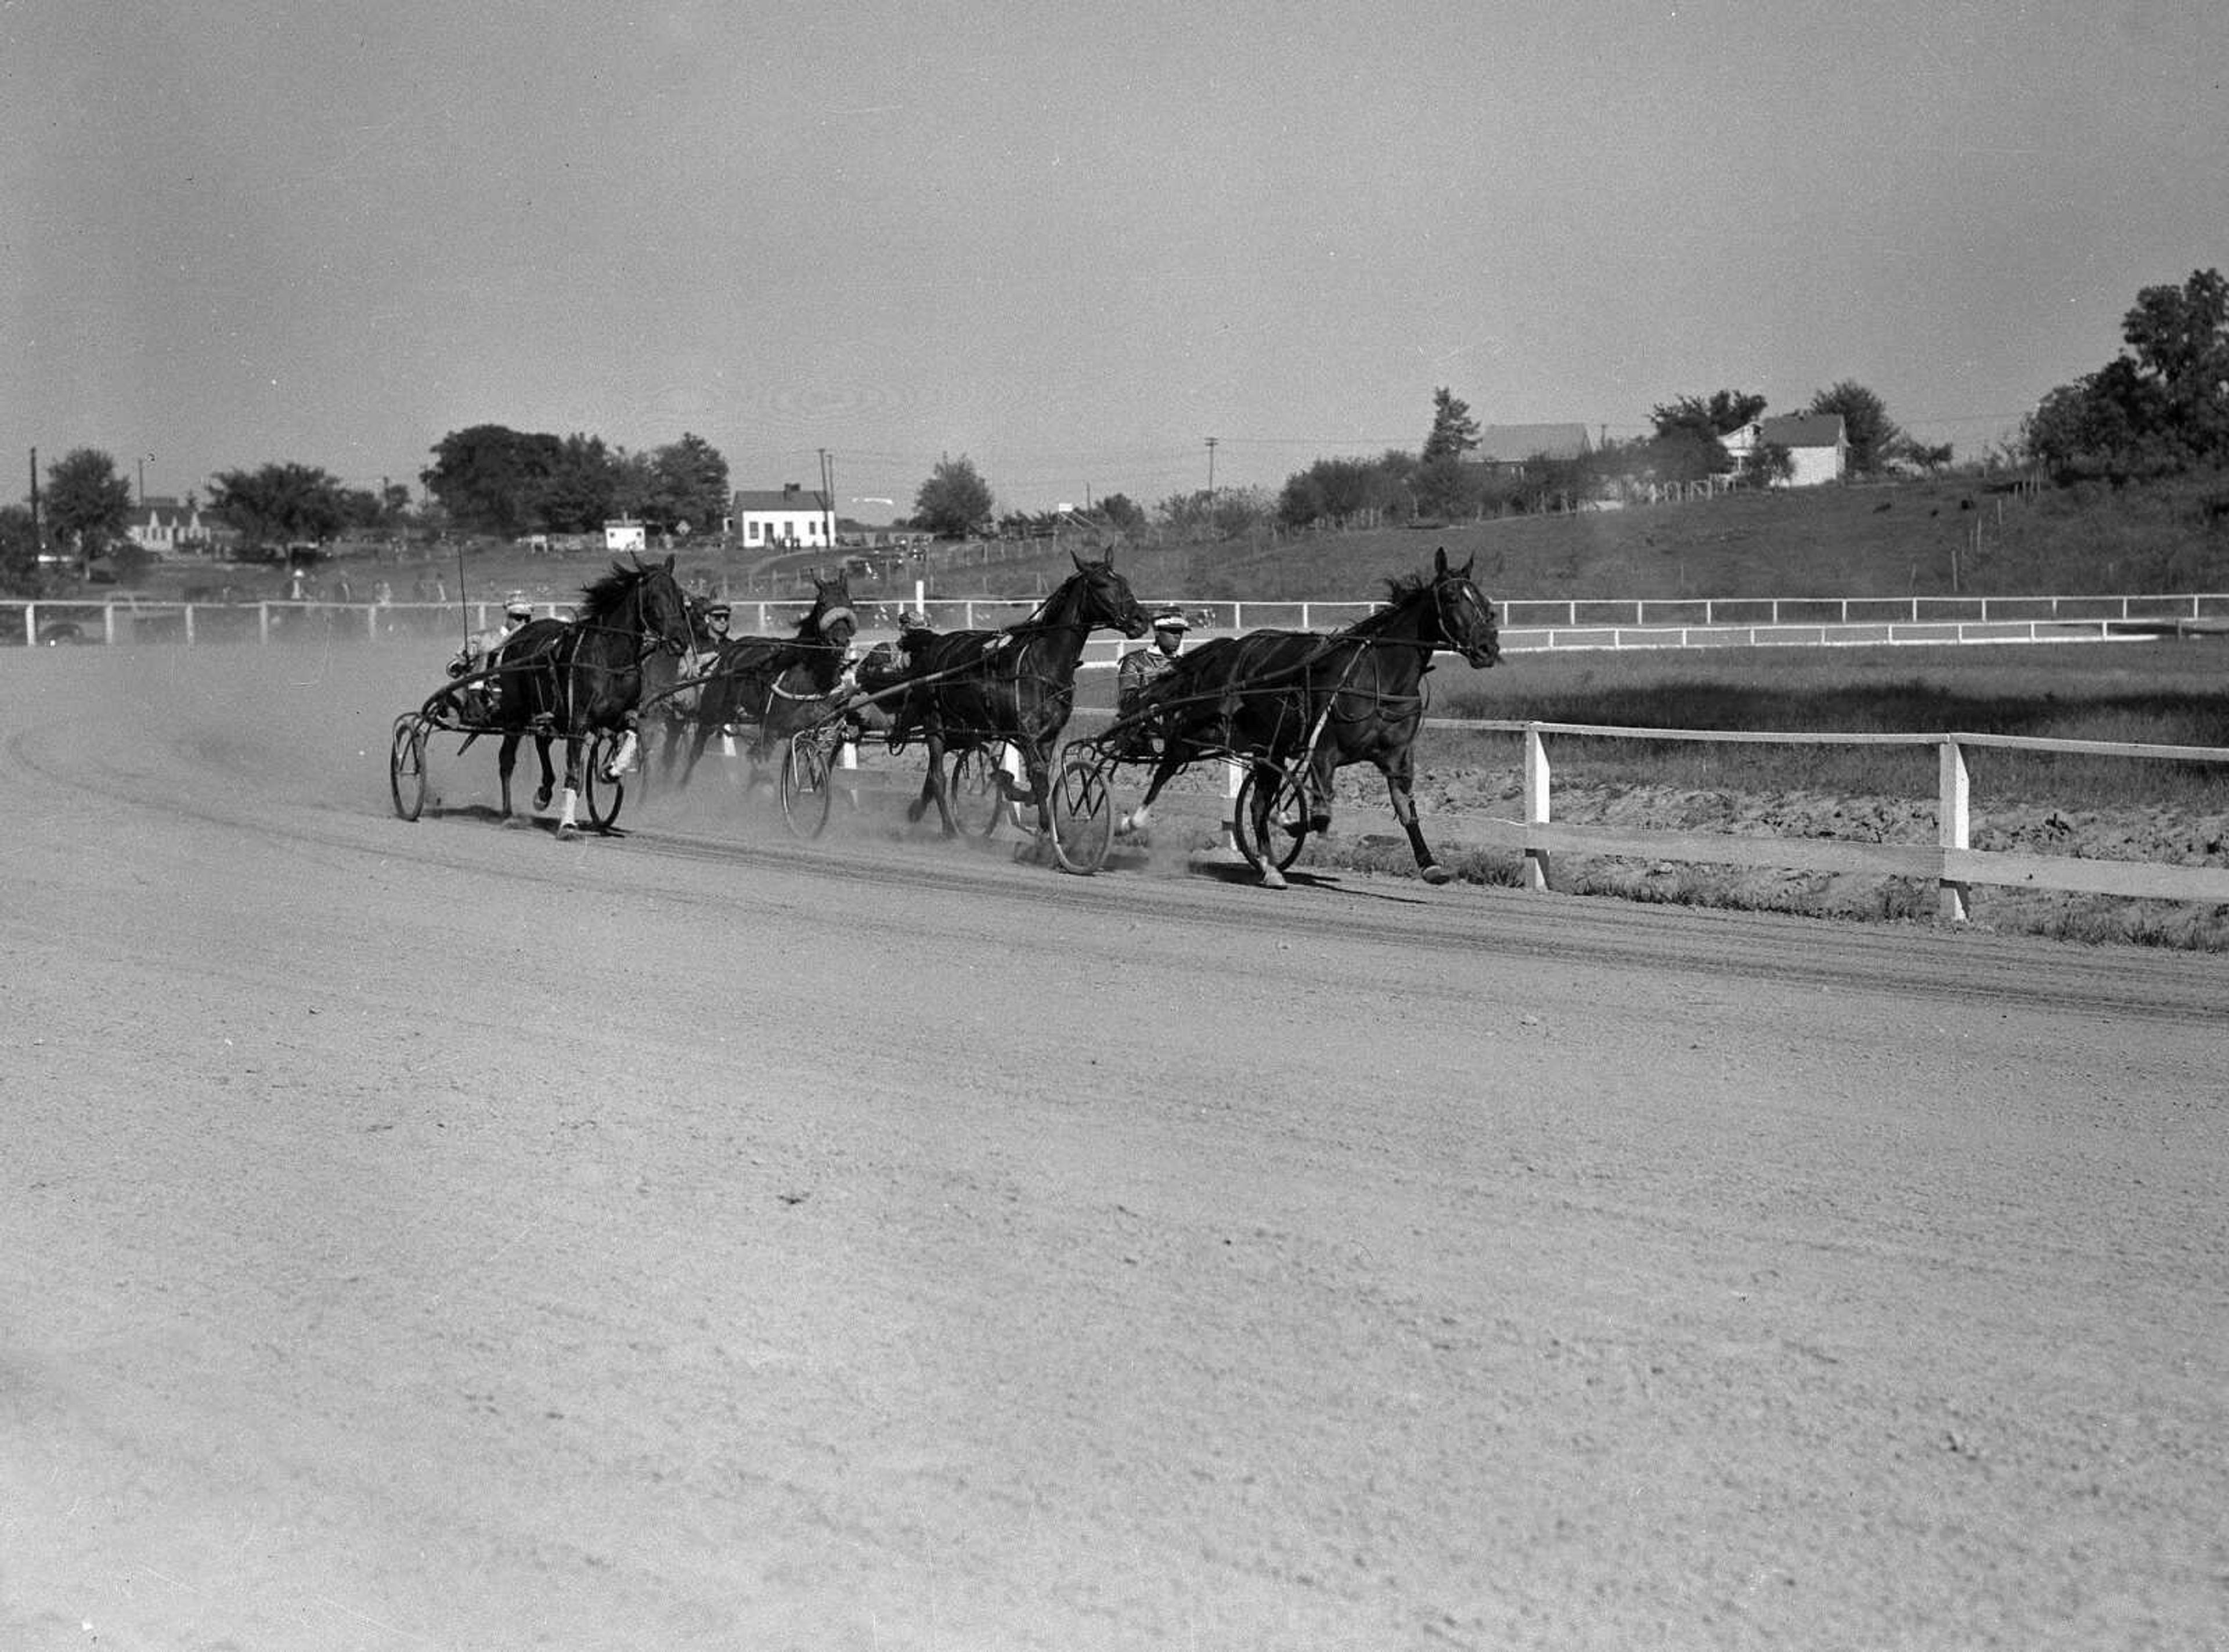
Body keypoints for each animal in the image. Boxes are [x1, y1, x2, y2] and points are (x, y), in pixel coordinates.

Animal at [905, 548, 1150, 842]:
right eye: (1101, 584)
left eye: (1123, 581)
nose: (1141, 620)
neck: (1043, 664)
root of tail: (934, 645)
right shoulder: (1027, 733)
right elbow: (1039, 778)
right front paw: (1046, 828)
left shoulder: (1049, 735)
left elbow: (1040, 780)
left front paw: (1013, 788)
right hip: (935, 724)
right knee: (937, 775)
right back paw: (949, 829)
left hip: (962, 728)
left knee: (935, 774)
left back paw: (918, 810)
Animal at [1114, 548, 1498, 887]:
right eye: (1451, 597)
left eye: (1482, 599)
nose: (1487, 648)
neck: (1378, 677)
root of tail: (1228, 649)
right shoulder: (1323, 753)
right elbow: (1320, 817)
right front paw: (1286, 819)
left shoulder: (1397, 758)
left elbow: (1406, 810)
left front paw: (1431, 866)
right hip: (1206, 728)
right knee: (1169, 764)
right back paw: (1131, 822)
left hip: (1265, 746)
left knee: (1255, 803)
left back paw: (1270, 867)